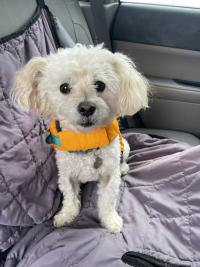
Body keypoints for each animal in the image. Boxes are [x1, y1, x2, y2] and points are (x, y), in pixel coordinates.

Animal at [10, 45, 148, 233]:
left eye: (100, 85)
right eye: (64, 87)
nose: (86, 108)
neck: (86, 141)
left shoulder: (109, 175)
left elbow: (107, 200)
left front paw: (110, 220)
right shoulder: (66, 174)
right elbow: (70, 197)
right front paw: (66, 215)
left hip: (124, 146)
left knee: (123, 158)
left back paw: (124, 167)